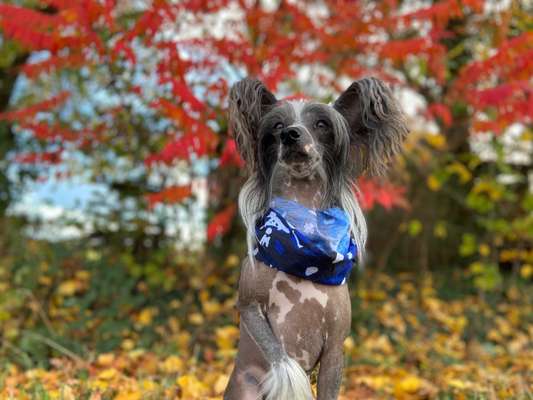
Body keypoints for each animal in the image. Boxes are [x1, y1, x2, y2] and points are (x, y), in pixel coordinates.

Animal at [223, 76, 408, 398]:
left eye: (321, 124)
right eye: (277, 126)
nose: (291, 135)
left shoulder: (335, 348)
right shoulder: (248, 306)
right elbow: (280, 356)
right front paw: (290, 380)